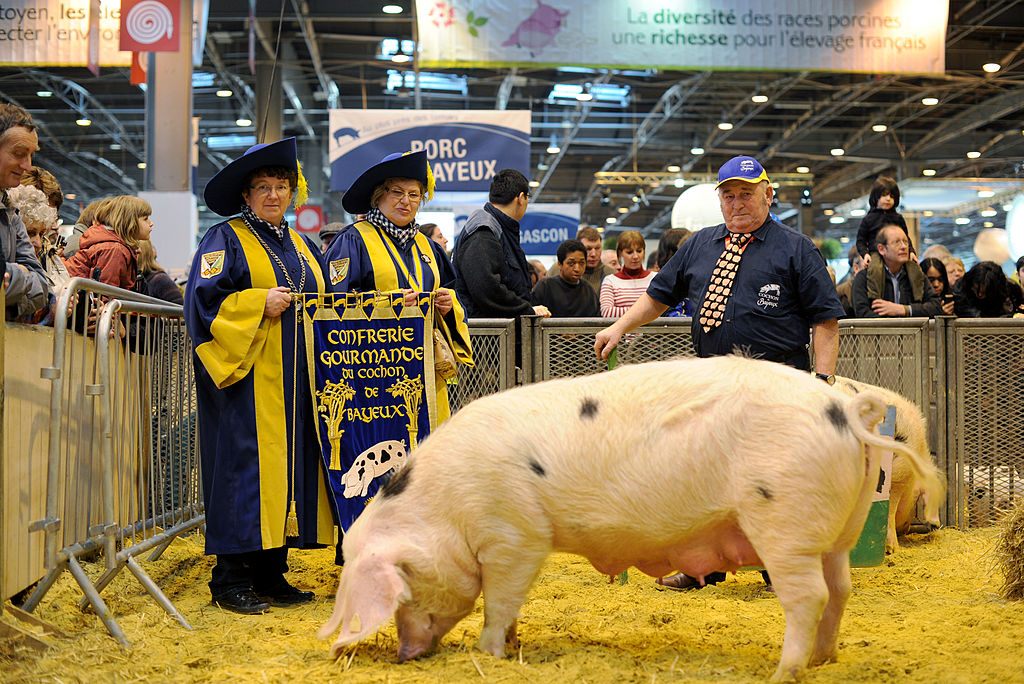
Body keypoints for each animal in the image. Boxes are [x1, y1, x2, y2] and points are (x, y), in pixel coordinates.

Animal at [317, 356, 921, 679]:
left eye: (403, 584)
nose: (404, 656)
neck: (445, 507)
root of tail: (844, 408)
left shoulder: (515, 535)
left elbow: (500, 599)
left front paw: (490, 653)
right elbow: (505, 607)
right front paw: (511, 646)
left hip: (784, 520)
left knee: (808, 597)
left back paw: (783, 672)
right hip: (837, 529)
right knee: (841, 590)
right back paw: (823, 660)